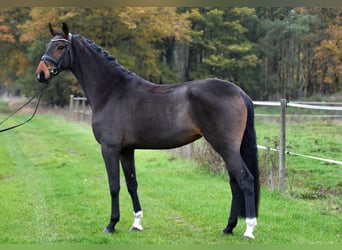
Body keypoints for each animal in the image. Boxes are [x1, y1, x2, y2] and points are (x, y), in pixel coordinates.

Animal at [35, 23, 260, 240]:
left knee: (245, 180)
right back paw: (228, 228)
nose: (41, 73)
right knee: (234, 183)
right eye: (47, 46)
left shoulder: (109, 148)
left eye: (61, 46)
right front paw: (136, 224)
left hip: (226, 147)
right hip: (228, 149)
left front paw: (111, 224)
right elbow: (131, 183)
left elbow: (114, 185)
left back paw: (248, 230)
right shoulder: (126, 150)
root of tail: (239, 92)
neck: (112, 92)